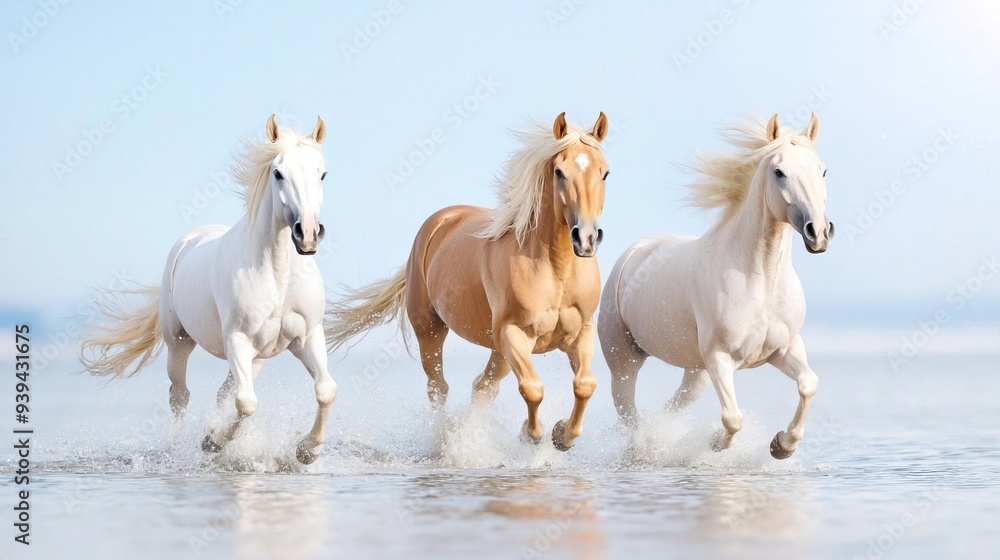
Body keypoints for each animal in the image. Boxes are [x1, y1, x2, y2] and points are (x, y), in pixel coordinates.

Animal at [79, 115, 337, 464]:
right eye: (278, 173)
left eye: (322, 173)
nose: (307, 234)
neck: (278, 277)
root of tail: (189, 240)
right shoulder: (237, 340)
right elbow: (246, 404)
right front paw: (212, 442)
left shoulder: (308, 337)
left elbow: (325, 390)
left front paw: (307, 451)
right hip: (179, 343)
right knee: (180, 396)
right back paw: (180, 449)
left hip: (257, 357)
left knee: (222, 395)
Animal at [325, 113, 610, 451]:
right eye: (559, 172)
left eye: (605, 173)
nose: (586, 238)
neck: (556, 269)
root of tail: (441, 221)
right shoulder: (514, 333)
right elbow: (532, 388)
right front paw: (532, 434)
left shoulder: (580, 332)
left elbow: (585, 385)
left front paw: (563, 435)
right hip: (431, 329)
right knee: (439, 387)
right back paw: (445, 441)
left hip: (497, 349)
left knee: (483, 387)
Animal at [599, 114, 833, 459]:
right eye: (779, 172)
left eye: (822, 170)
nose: (819, 233)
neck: (760, 281)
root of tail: (636, 251)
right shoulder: (720, 358)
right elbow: (733, 418)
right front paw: (714, 444)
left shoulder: (784, 349)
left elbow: (809, 384)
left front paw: (782, 445)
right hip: (624, 360)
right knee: (628, 412)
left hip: (696, 371)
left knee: (671, 406)